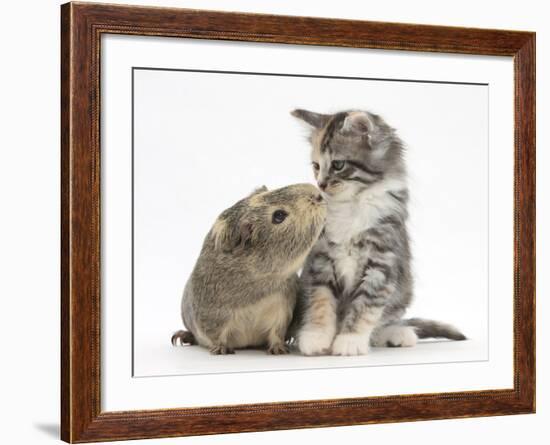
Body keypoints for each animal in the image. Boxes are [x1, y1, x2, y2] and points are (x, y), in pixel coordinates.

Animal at [292, 109, 468, 356]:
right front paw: (316, 337)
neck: (352, 204)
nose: (321, 184)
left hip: (402, 294)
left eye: (338, 165)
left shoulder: (381, 262)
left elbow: (365, 306)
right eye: (316, 166)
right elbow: (320, 301)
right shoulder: (321, 260)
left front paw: (349, 341)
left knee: (384, 323)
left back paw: (398, 334)